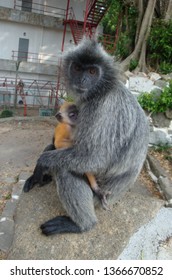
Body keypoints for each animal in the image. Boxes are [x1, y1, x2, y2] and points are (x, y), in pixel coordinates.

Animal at [24, 38, 149, 235]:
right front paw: (37, 172)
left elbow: (93, 159)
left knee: (65, 168)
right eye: (77, 68)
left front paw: (41, 163)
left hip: (100, 197)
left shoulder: (103, 108)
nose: (82, 79)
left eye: (92, 71)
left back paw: (81, 224)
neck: (102, 90)